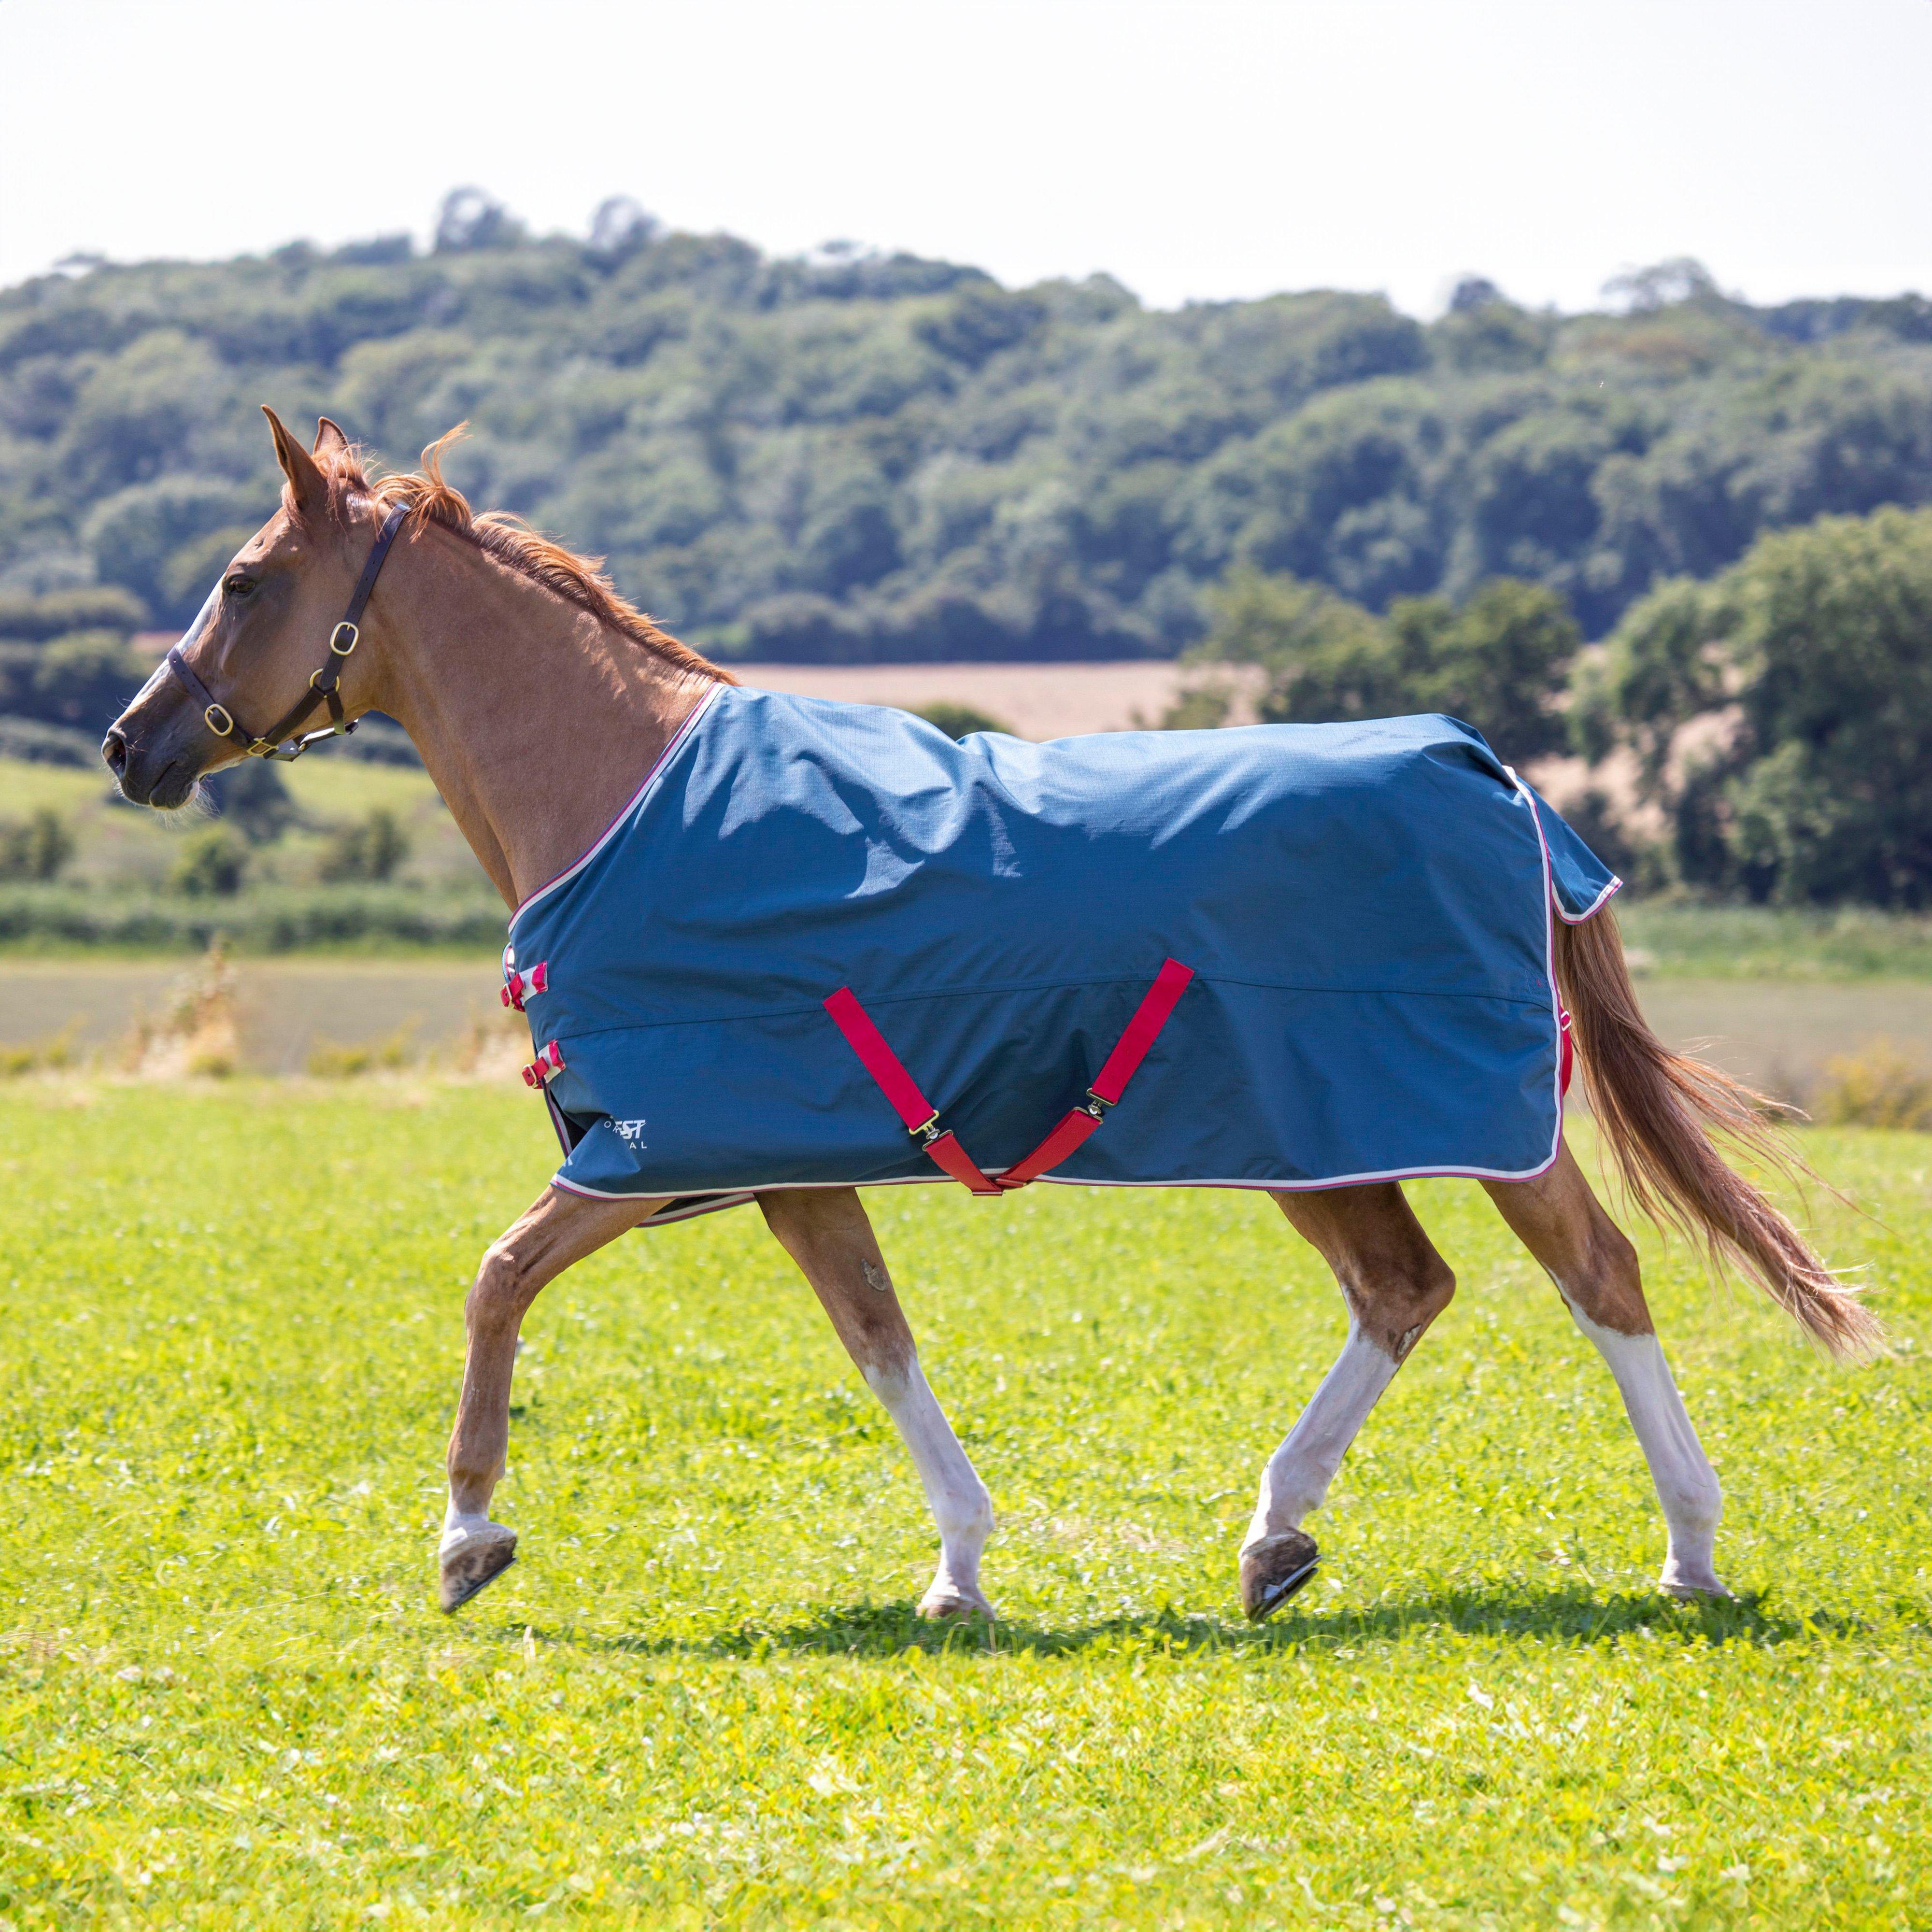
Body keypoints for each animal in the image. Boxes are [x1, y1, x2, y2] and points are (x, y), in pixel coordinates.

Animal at [98, 415, 1878, 1623]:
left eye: (247, 581)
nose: (130, 745)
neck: (627, 794)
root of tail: (1489, 769)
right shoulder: (782, 1164)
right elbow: (877, 1339)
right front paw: (959, 1566)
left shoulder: (654, 1148)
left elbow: (496, 1279)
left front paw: (468, 1537)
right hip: (1317, 1139)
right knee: (1406, 1288)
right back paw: (1277, 1535)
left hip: (1465, 1120)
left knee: (1603, 1278)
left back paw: (1690, 1549)